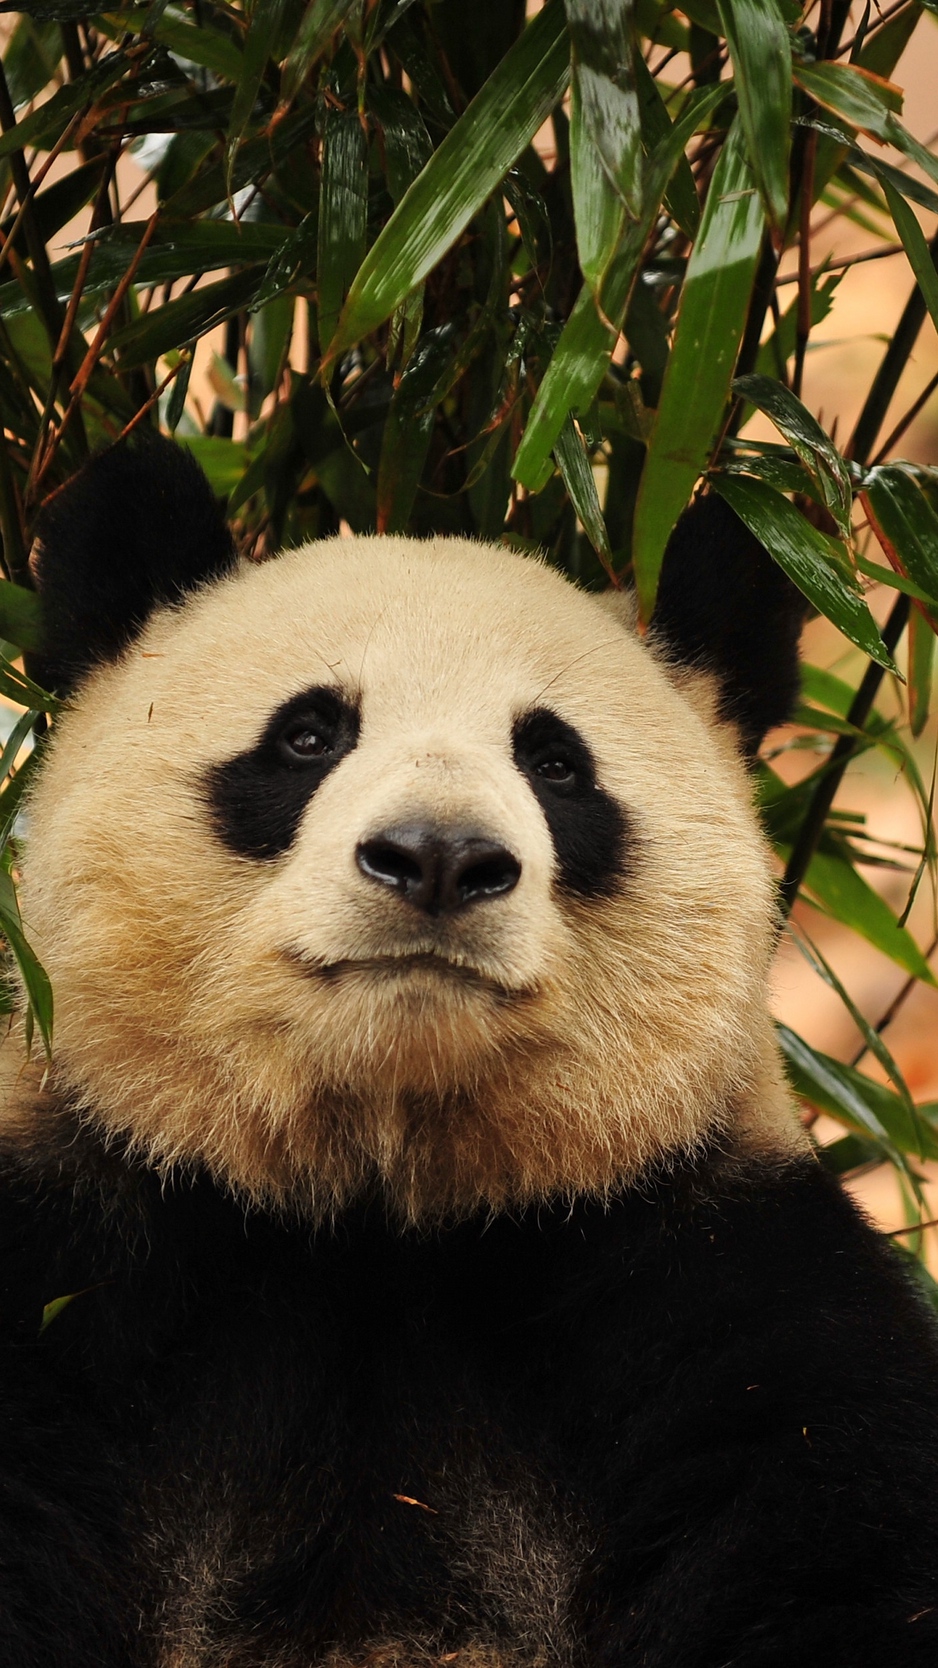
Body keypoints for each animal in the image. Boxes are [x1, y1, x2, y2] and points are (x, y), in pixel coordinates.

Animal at [1, 431, 938, 1668]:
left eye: (554, 762)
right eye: (309, 734)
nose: (438, 856)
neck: (383, 1201)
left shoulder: (722, 1287)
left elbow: (832, 1553)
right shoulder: (79, 1246)